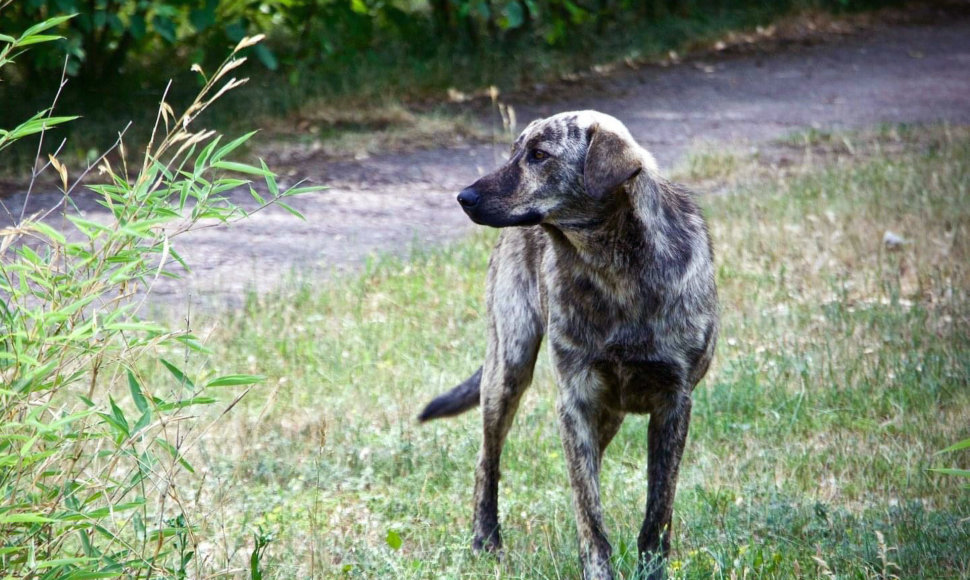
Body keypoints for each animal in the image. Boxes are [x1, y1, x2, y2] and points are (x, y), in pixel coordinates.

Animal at [418, 111, 720, 576]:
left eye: (540, 156)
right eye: (515, 152)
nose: (464, 197)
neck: (616, 270)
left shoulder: (673, 404)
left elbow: (657, 512)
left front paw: (650, 570)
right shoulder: (575, 401)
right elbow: (591, 516)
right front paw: (598, 570)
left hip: (605, 412)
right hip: (508, 369)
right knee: (488, 461)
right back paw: (485, 540)